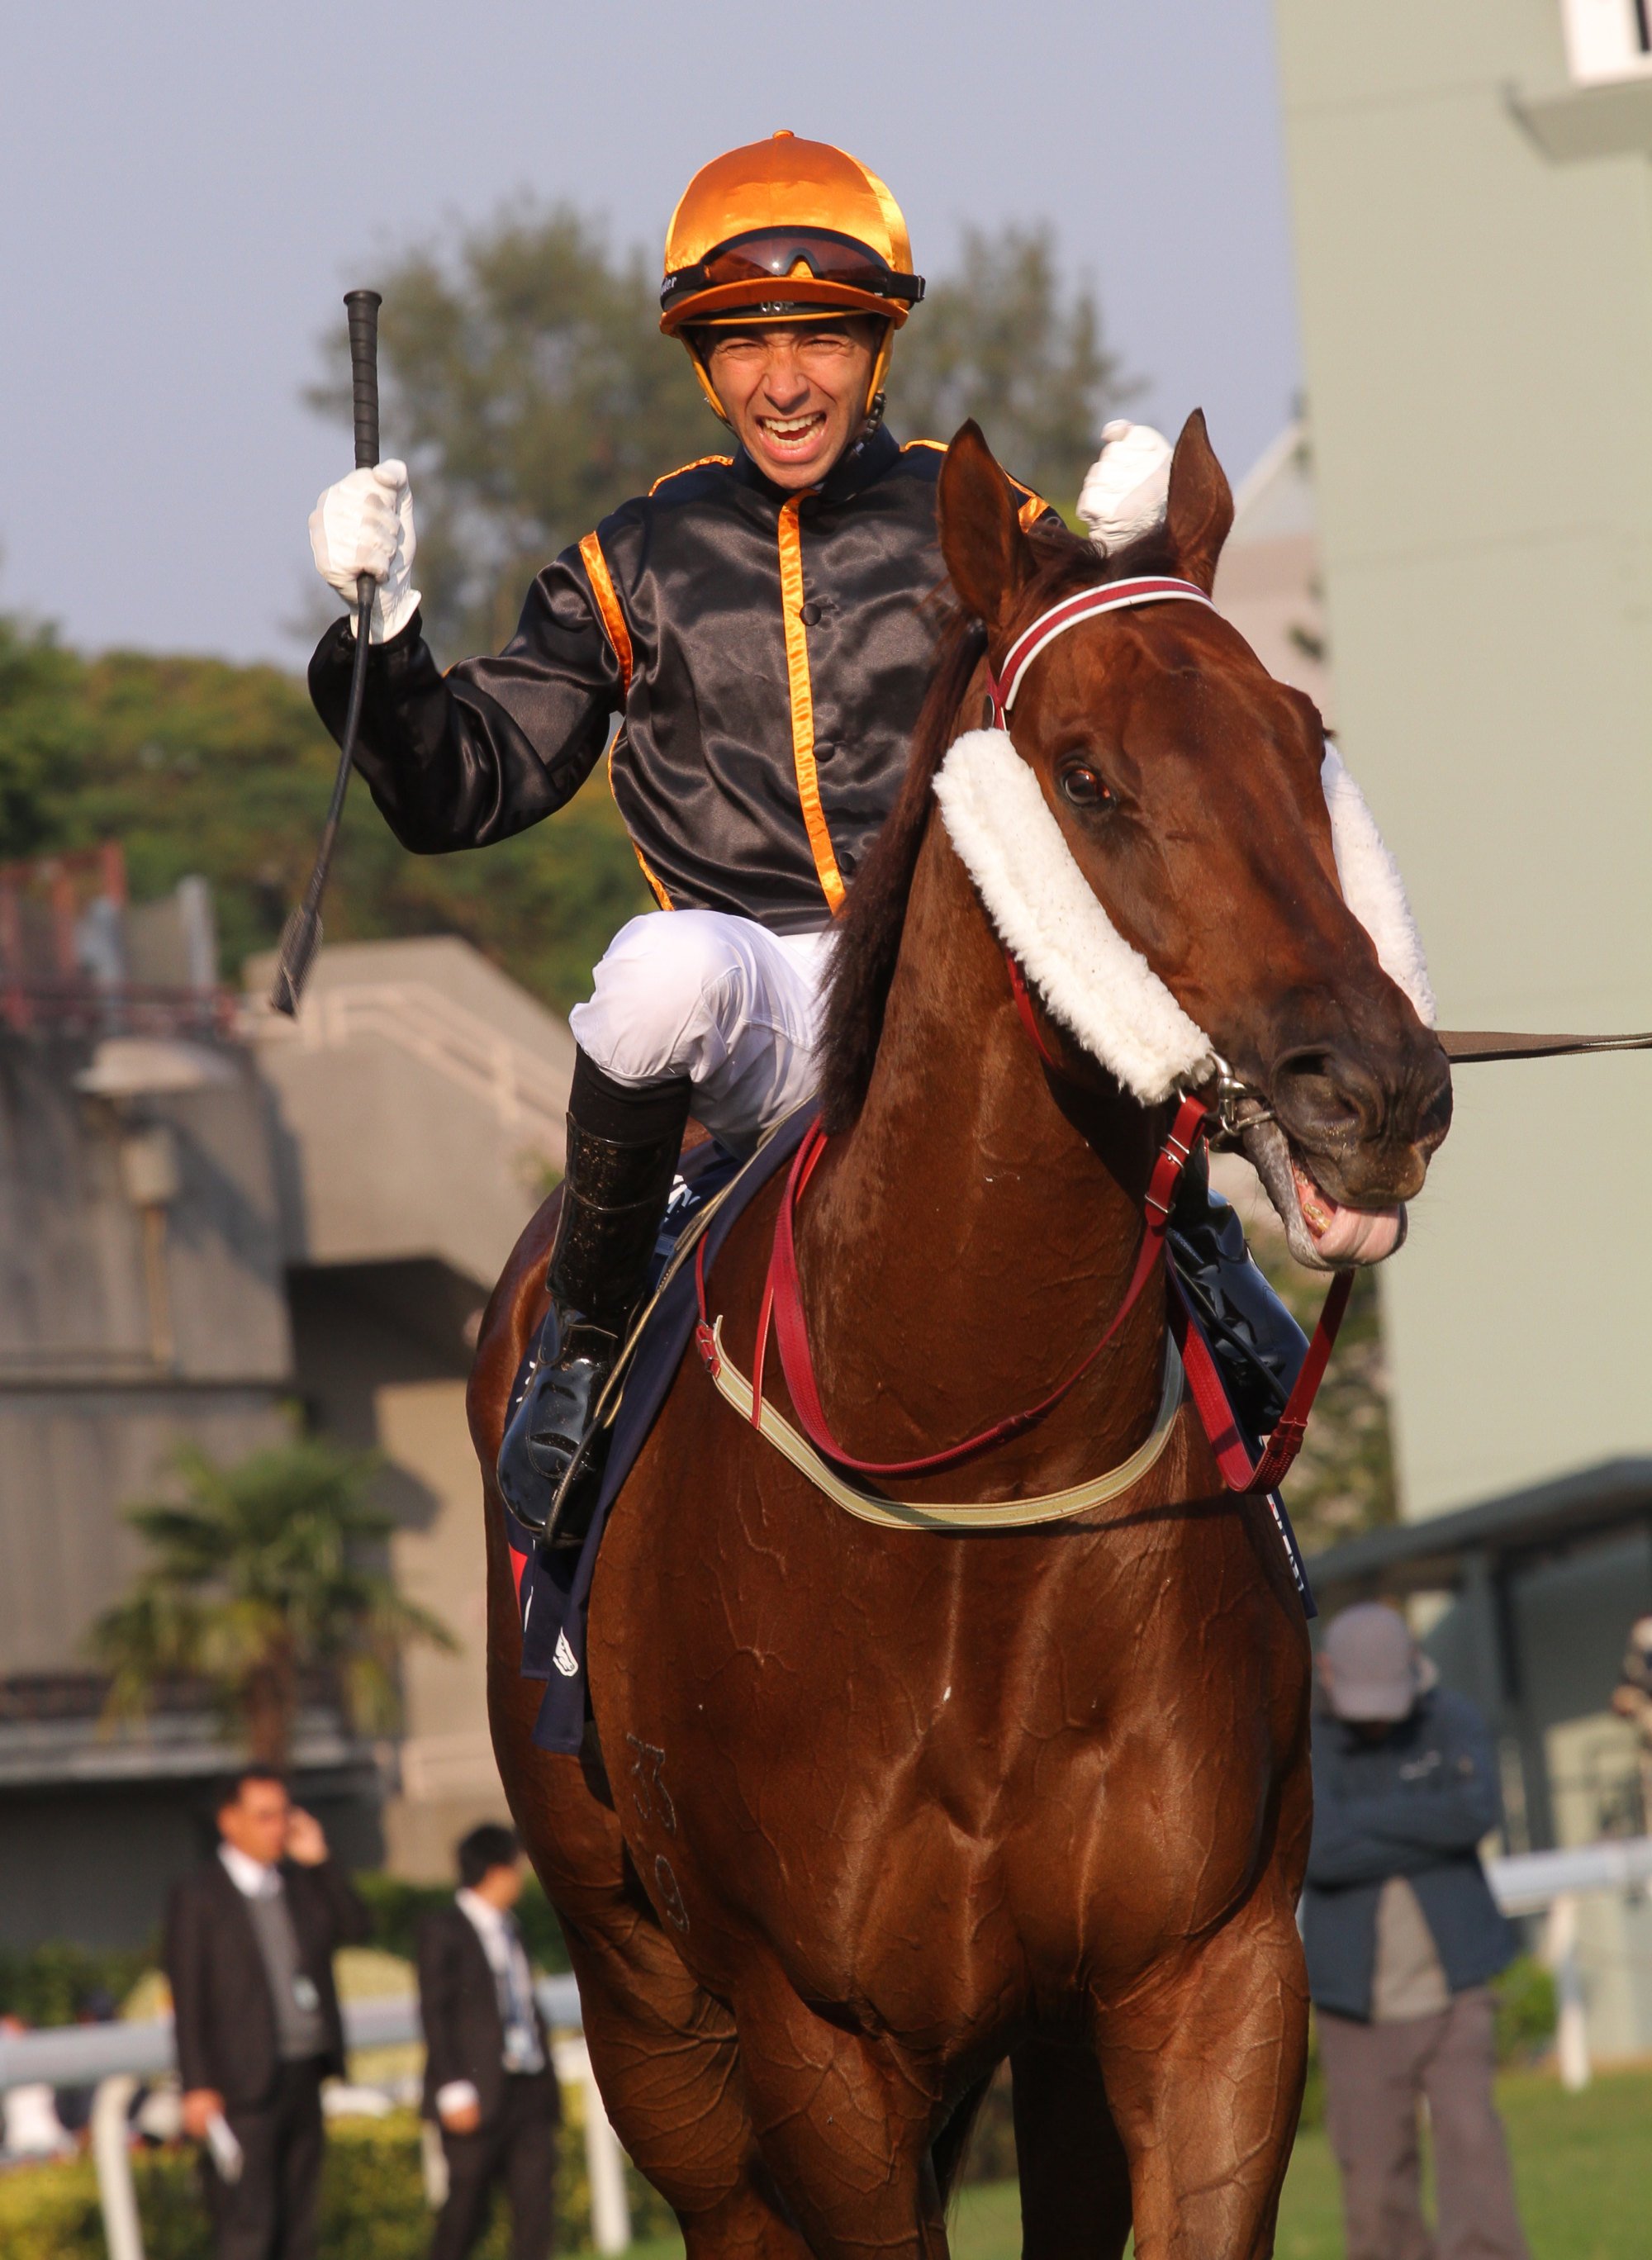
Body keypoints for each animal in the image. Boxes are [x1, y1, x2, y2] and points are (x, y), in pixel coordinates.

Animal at [465, 420, 1446, 2260]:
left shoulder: (1206, 1980)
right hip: (645, 2010)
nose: (1375, 1086)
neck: (977, 1486)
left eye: (1306, 735)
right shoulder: (817, 2043)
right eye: (1085, 773)